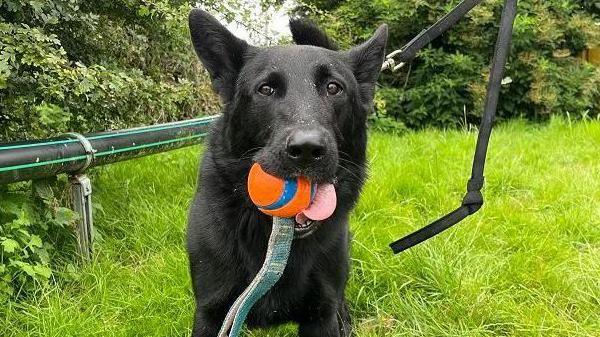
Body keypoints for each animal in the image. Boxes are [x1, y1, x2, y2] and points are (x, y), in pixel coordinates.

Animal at [185, 8, 386, 336]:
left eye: (334, 88)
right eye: (266, 89)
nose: (306, 149)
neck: (276, 239)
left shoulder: (321, 316)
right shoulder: (211, 313)